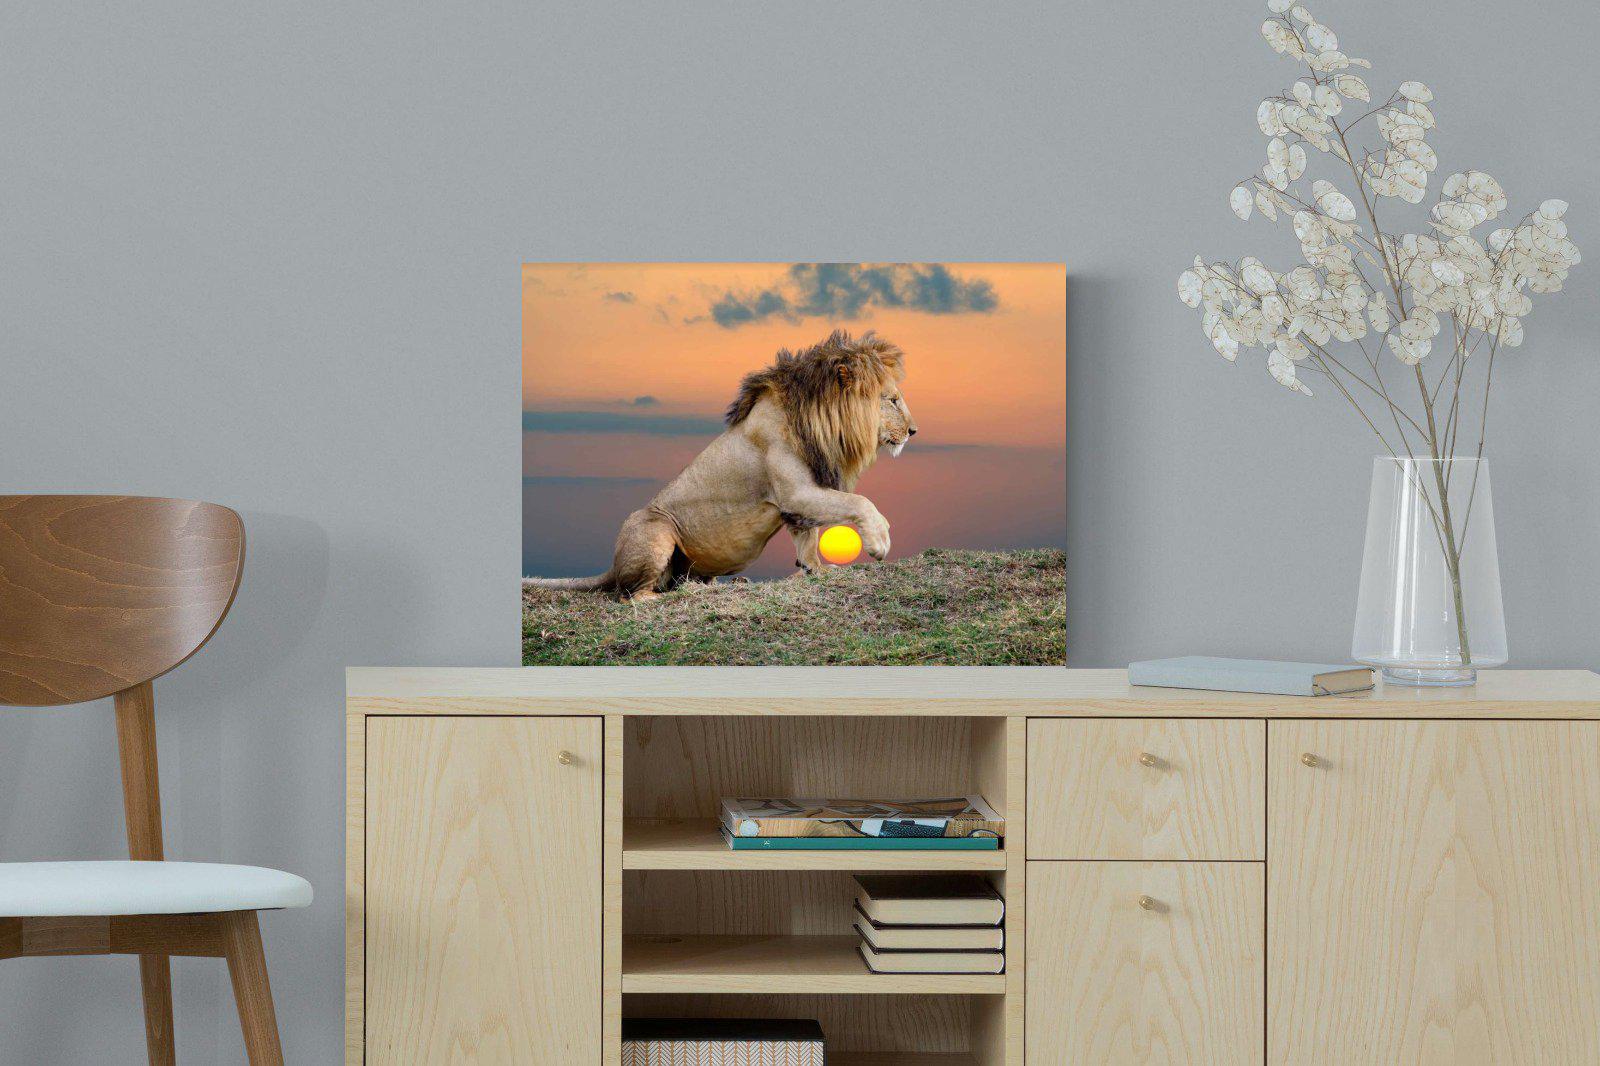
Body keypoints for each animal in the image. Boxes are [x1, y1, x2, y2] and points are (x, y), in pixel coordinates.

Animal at [526, 330, 917, 599]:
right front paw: (879, 541)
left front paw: (814, 570)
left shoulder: (797, 501)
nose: (914, 431)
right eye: (893, 400)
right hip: (655, 527)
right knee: (634, 596)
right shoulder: (796, 492)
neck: (819, 422)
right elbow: (859, 502)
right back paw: (685, 594)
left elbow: (807, 539)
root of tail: (612, 566)